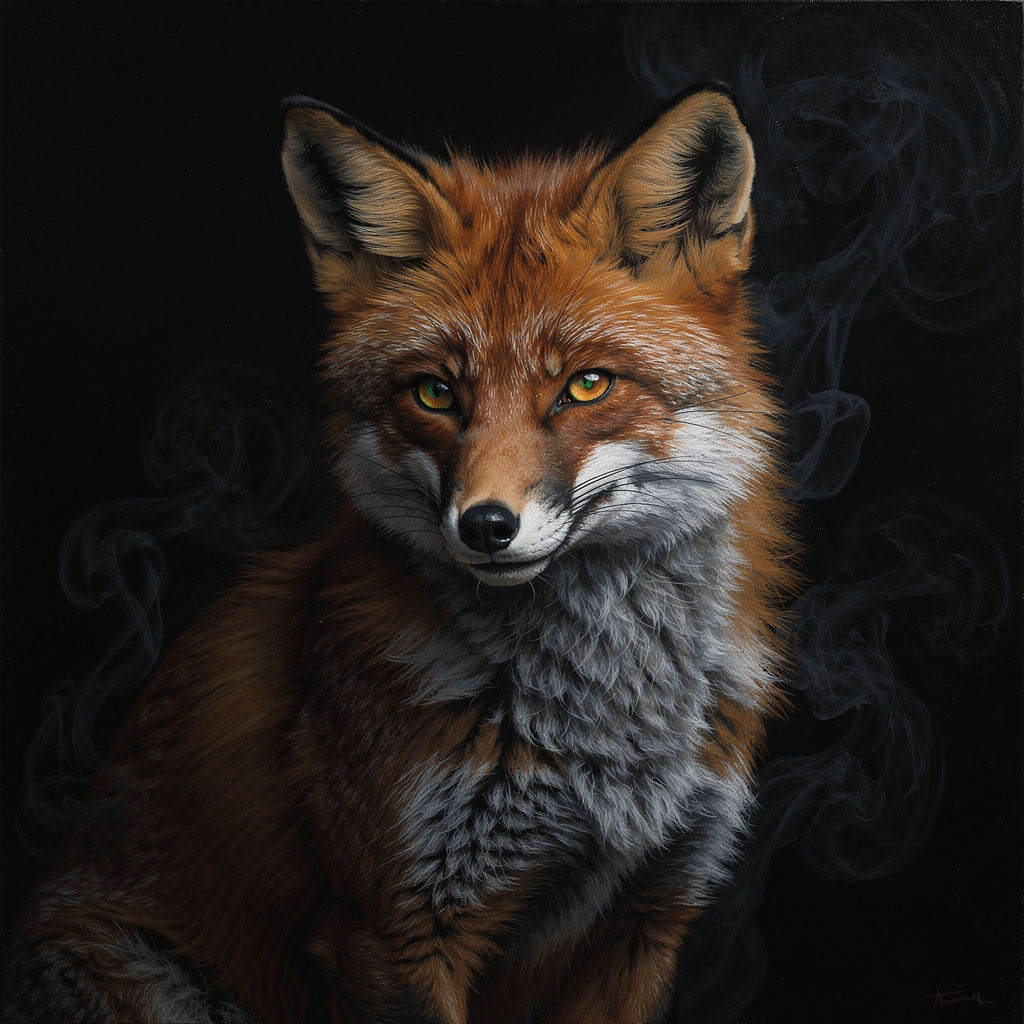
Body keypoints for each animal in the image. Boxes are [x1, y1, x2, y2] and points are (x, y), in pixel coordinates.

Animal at [4, 86, 797, 1024]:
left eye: (586, 386)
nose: (485, 525)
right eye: (435, 393)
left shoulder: (648, 914)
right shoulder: (395, 927)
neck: (605, 722)